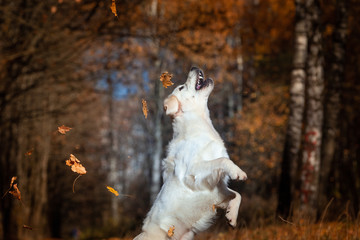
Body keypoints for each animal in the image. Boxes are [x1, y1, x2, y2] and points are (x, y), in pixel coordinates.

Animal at [135, 66, 248, 239]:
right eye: (181, 87)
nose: (194, 67)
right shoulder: (192, 171)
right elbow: (223, 160)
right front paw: (238, 172)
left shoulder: (218, 188)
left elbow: (237, 195)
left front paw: (232, 216)